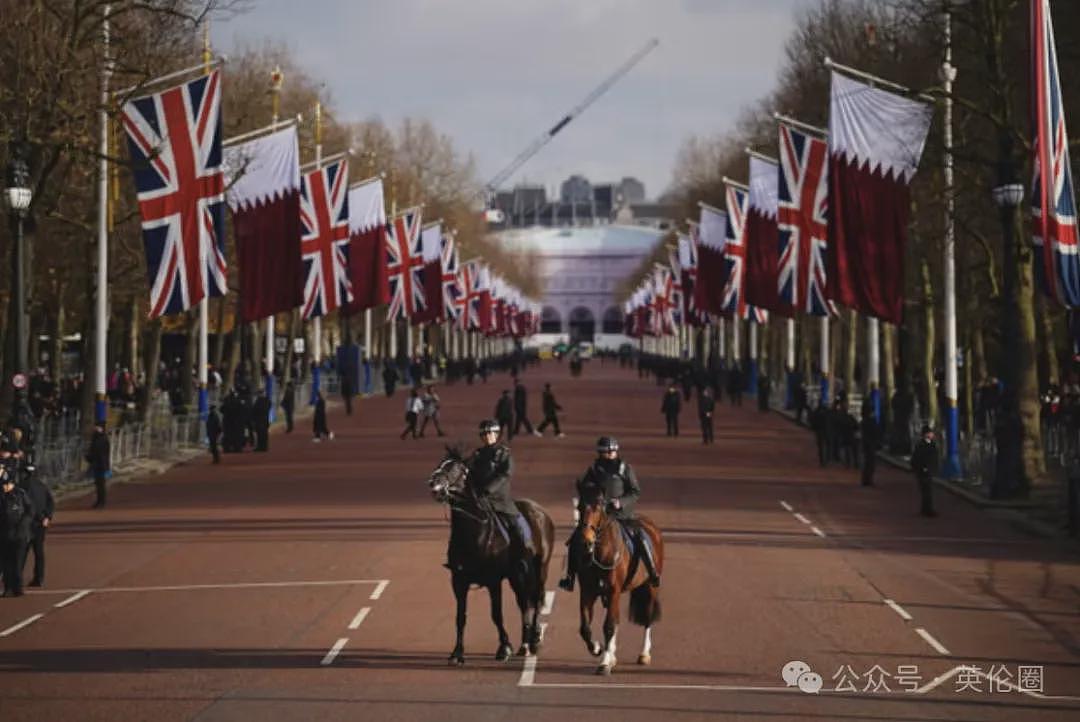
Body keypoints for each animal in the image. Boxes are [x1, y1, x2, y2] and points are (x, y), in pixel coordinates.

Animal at [425, 444, 552, 664]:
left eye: (456, 469)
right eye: (440, 464)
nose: (435, 485)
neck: (475, 532)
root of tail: (540, 511)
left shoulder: (493, 580)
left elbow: (496, 615)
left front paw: (504, 648)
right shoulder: (459, 581)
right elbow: (461, 616)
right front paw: (457, 653)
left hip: (539, 569)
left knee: (535, 599)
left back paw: (533, 641)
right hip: (517, 576)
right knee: (524, 603)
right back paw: (525, 642)